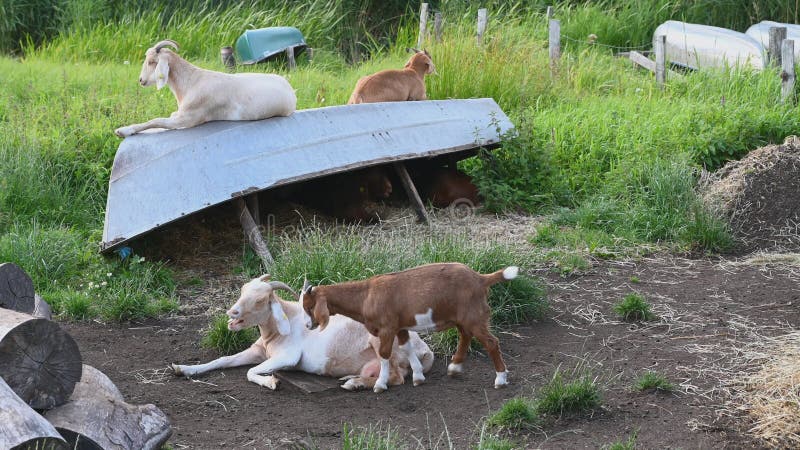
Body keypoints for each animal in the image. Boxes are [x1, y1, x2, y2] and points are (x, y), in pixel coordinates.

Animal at [113, 40, 296, 139]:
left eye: (152, 61)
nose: (141, 80)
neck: (192, 82)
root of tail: (290, 89)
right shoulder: (179, 113)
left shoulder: (187, 119)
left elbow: (157, 120)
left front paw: (123, 130)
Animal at [172, 274, 434, 390]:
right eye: (242, 290)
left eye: (260, 300)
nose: (232, 313)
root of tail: (426, 350)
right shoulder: (258, 351)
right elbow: (223, 359)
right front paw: (183, 369)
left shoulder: (287, 357)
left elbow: (250, 372)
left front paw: (271, 382)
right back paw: (352, 379)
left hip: (383, 342)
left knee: (397, 377)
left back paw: (355, 384)